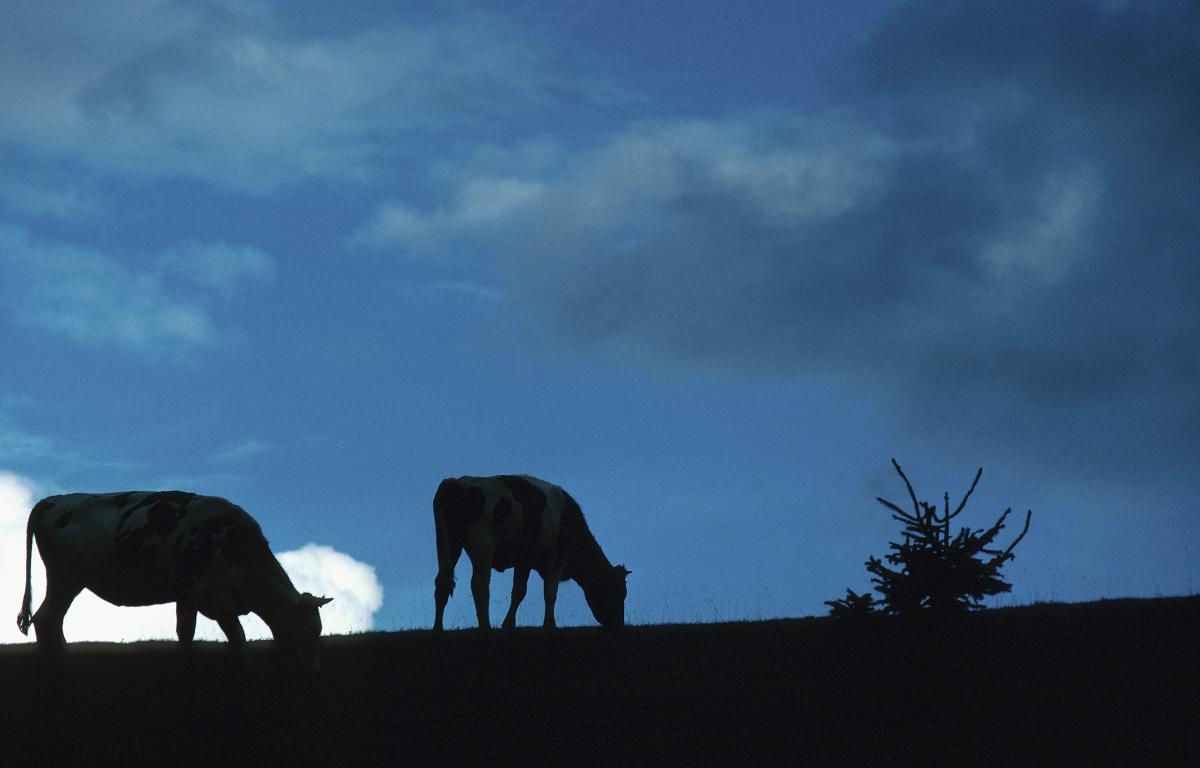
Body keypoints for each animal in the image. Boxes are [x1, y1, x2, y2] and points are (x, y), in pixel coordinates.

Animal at [16, 491, 333, 674]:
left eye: (318, 630)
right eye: (305, 629)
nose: (312, 673)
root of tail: (54, 500)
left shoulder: (201, 598)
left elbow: (209, 635)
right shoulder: (205, 596)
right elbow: (216, 635)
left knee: (49, 620)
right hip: (65, 578)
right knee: (46, 619)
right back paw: (59, 665)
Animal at [433, 474, 629, 632]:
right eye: (619, 592)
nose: (619, 624)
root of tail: (455, 482)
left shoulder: (524, 560)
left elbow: (519, 591)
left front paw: (509, 624)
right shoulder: (558, 557)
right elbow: (550, 591)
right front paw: (549, 625)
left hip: (450, 544)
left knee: (442, 582)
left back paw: (437, 629)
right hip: (482, 546)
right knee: (479, 584)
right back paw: (485, 627)